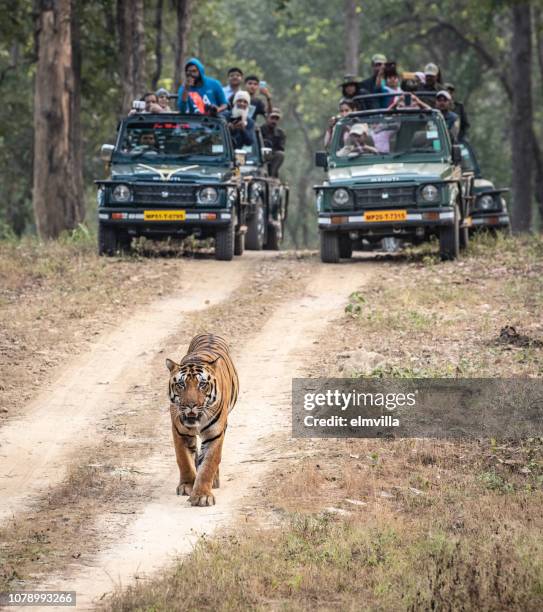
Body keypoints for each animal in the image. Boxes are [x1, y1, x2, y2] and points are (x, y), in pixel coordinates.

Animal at [166, 334, 238, 506]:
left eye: (202, 385)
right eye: (181, 384)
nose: (191, 404)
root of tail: (209, 333)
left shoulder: (215, 433)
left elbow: (209, 463)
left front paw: (202, 496)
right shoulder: (180, 432)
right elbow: (184, 459)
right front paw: (187, 486)